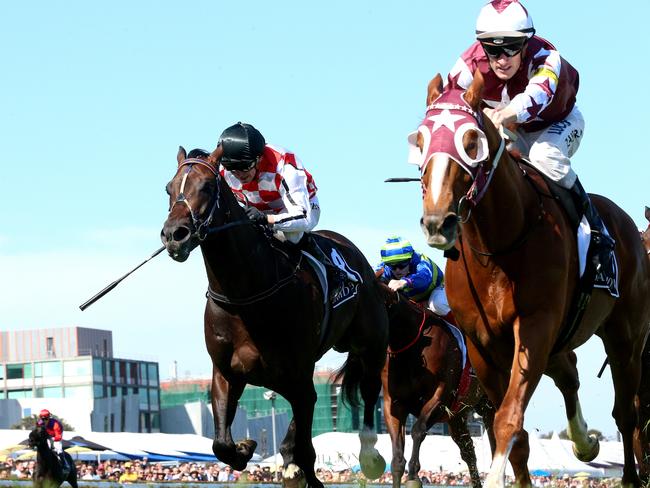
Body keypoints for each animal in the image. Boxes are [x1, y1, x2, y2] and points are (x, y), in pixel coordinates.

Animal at [160, 147, 388, 486]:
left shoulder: (299, 377)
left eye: (208, 187)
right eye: (169, 188)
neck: (246, 295)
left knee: (370, 389)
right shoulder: (227, 373)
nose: (175, 234)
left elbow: (307, 450)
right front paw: (246, 447)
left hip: (368, 345)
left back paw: (370, 454)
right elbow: (221, 443)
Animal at [378, 278, 494, 488]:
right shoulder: (393, 403)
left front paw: (414, 475)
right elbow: (397, 458)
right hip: (457, 416)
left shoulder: (440, 396)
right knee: (468, 452)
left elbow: (418, 430)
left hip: (488, 405)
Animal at [410, 73, 648, 488]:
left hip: (626, 339)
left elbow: (508, 417)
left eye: (471, 142)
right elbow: (512, 431)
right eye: (421, 141)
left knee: (626, 413)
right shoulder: (482, 344)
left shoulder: (535, 326)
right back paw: (585, 443)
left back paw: (628, 475)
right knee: (569, 371)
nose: (438, 222)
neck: (498, 247)